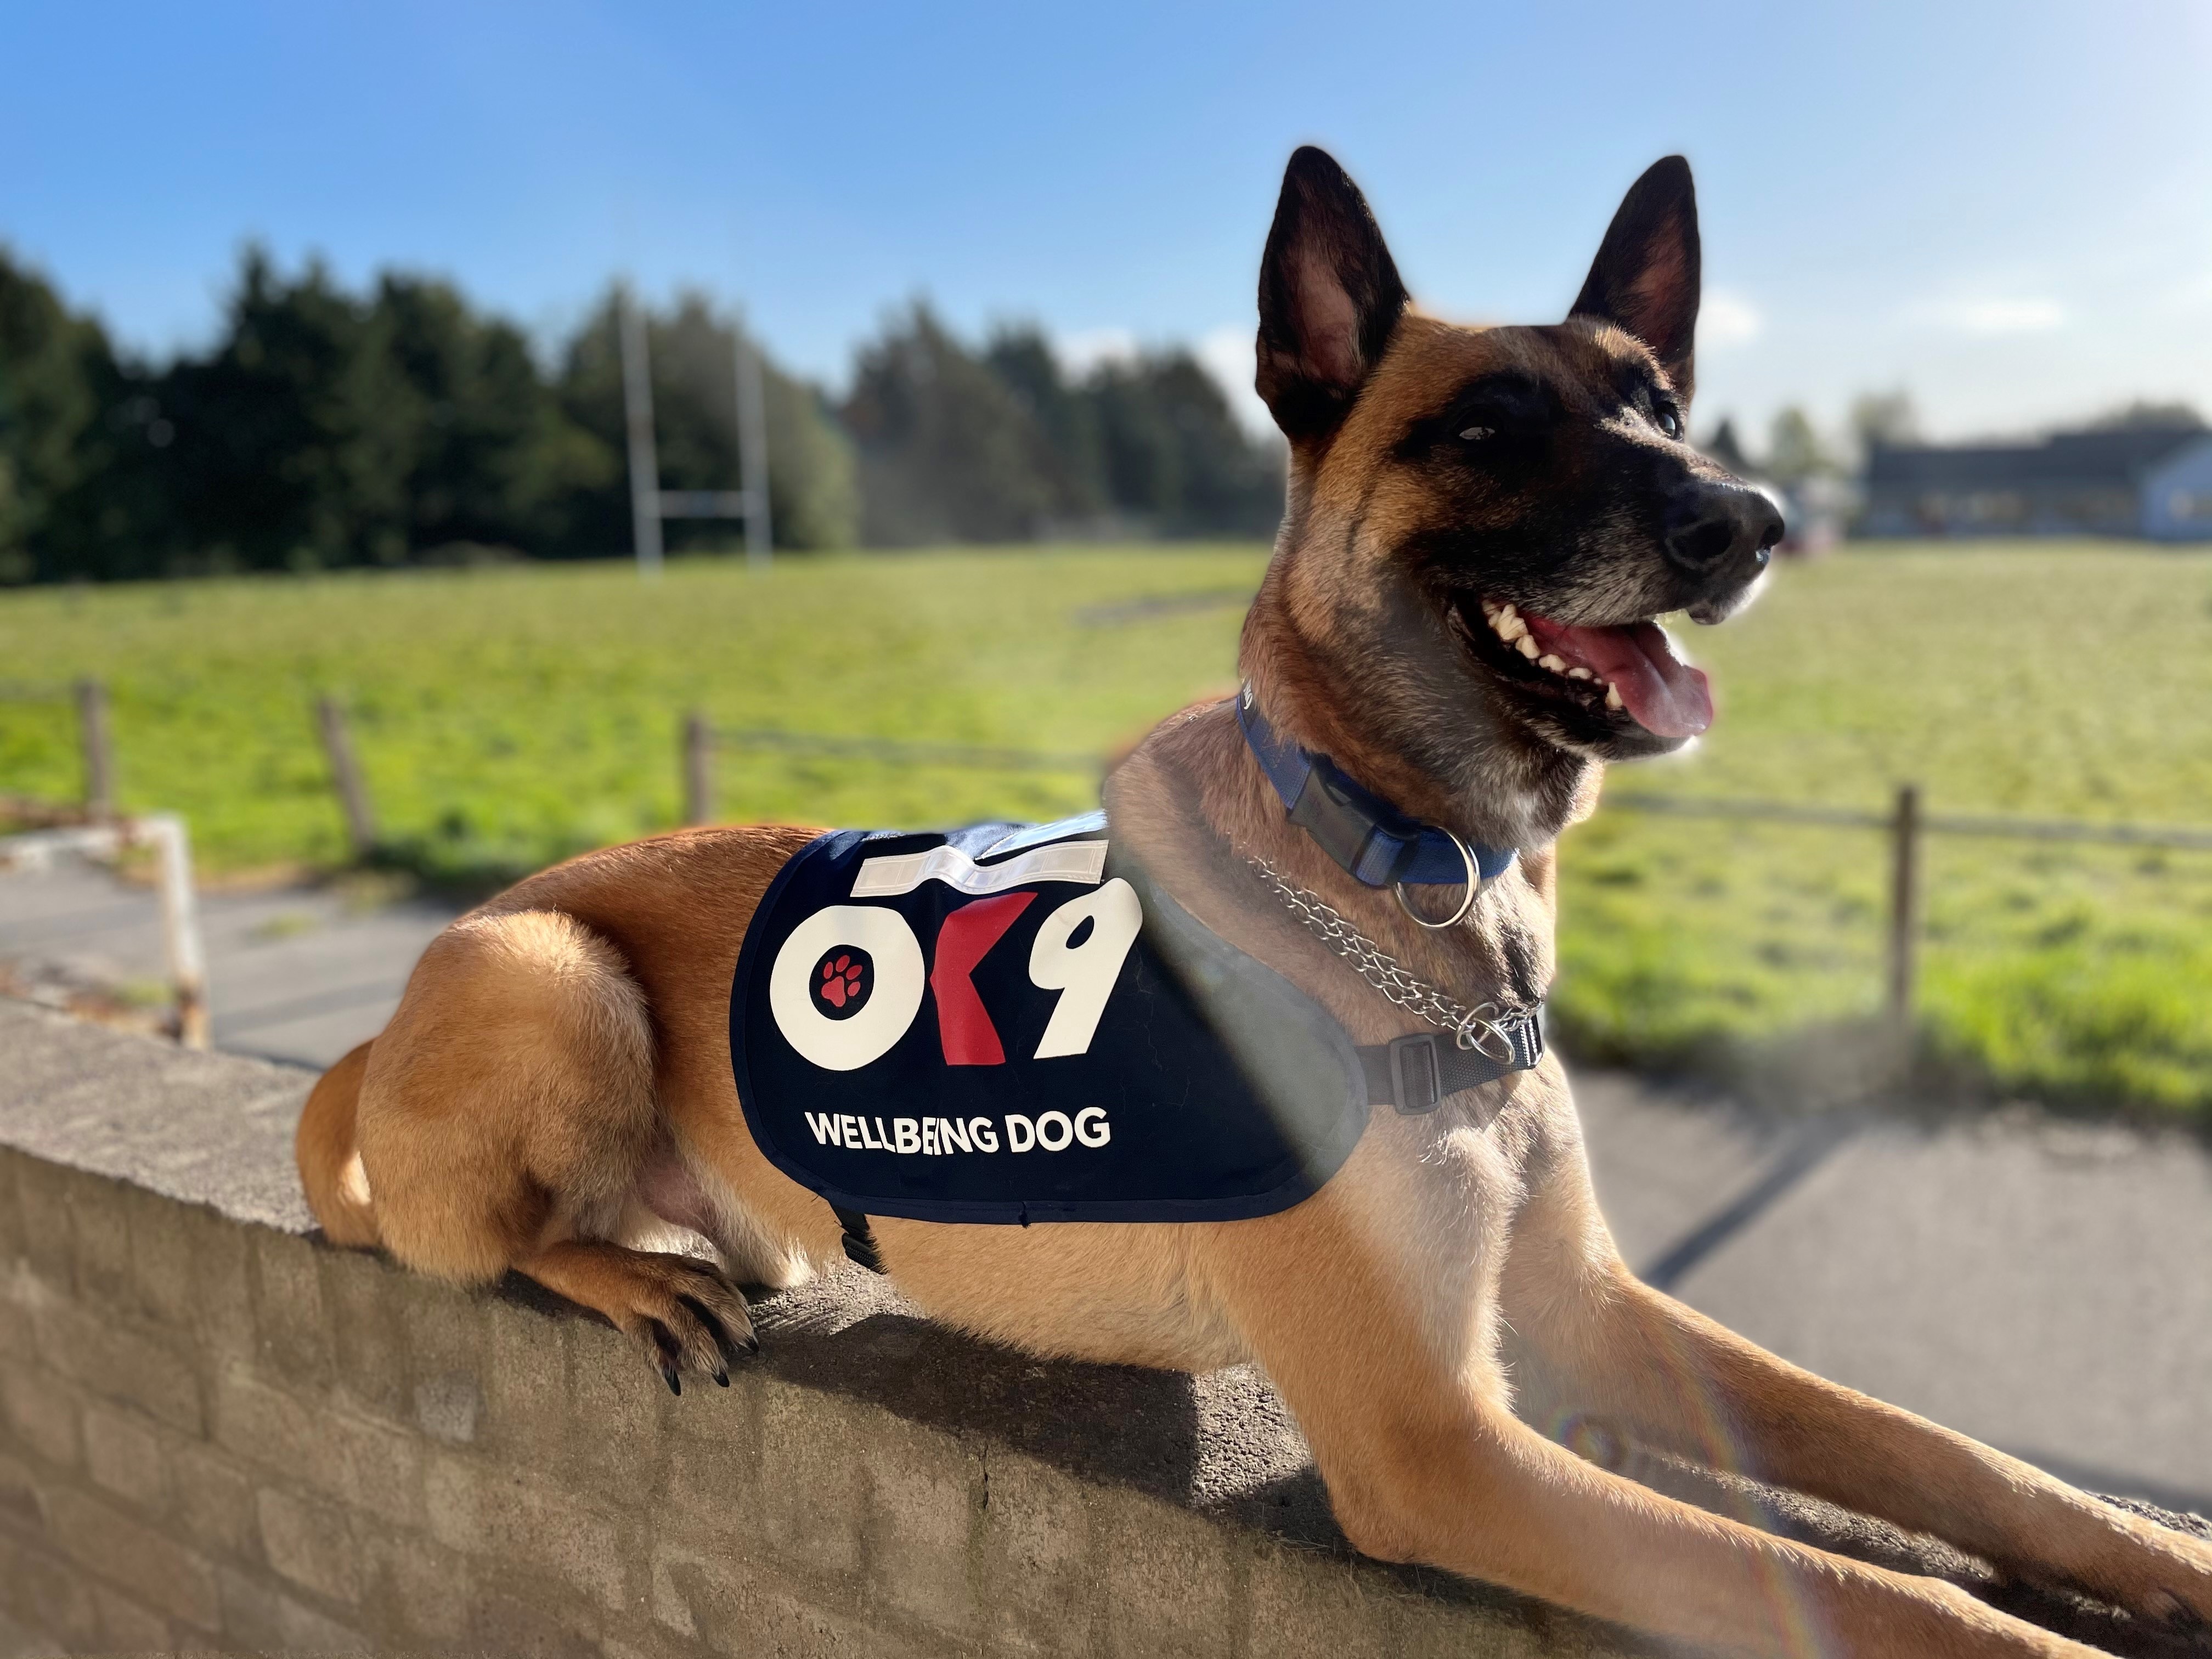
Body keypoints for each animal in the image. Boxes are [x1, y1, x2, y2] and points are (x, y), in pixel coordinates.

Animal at [297, 148, 2212, 1655]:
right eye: (1488, 427)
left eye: (1660, 407)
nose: (1750, 521)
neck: (1403, 869)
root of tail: (385, 1030)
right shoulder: (1439, 1442)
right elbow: (1878, 1593)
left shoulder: (1592, 1311)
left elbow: (1938, 1458)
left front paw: (2150, 1557)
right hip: (559, 971)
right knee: (481, 1242)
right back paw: (622, 1272)